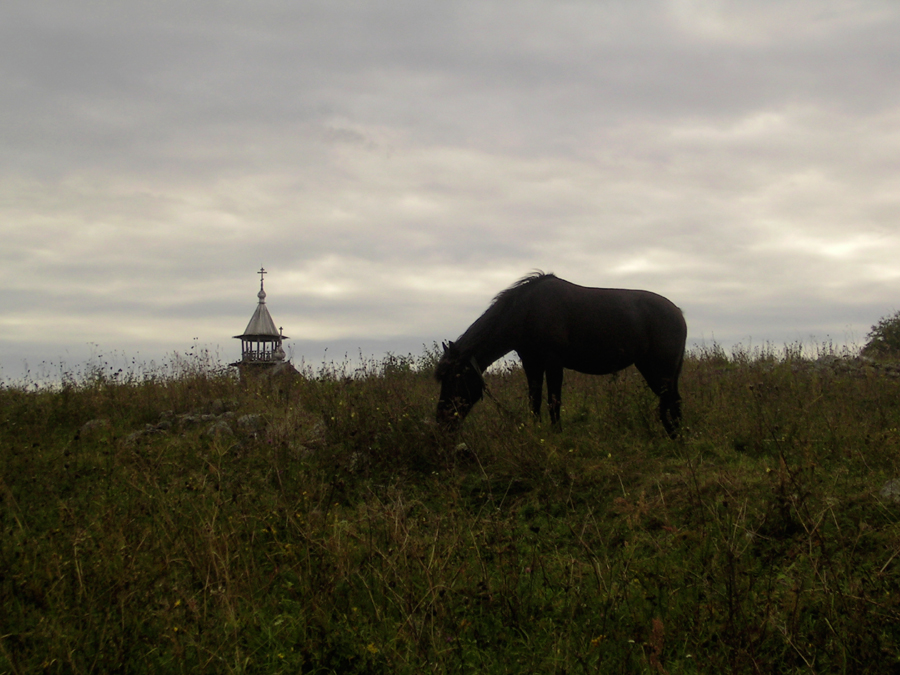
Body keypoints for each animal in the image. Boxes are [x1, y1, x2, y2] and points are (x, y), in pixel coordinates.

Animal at [434, 270, 684, 436]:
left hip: (661, 369)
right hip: (651, 368)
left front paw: (557, 435)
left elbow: (553, 402)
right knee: (673, 400)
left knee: (671, 400)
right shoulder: (531, 363)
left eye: (454, 378)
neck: (527, 311)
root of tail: (678, 313)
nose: (442, 421)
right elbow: (534, 401)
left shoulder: (553, 362)